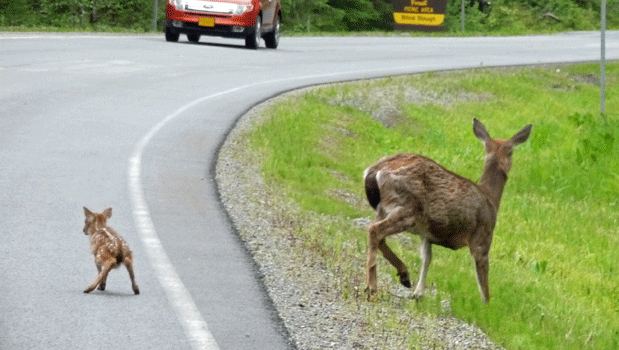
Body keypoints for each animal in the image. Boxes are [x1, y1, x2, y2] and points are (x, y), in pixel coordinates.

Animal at [364, 118, 532, 304]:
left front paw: (418, 293)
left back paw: (404, 276)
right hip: (406, 209)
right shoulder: (483, 235)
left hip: (384, 209)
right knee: (374, 231)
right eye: (511, 151)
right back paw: (372, 288)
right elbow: (483, 277)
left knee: (378, 235)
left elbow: (427, 258)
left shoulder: (426, 234)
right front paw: (487, 304)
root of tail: (375, 171)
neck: (490, 198)